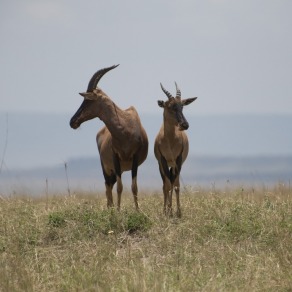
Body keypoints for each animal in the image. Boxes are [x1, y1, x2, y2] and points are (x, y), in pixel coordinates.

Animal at [70, 65, 148, 210]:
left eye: (88, 100)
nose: (72, 121)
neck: (126, 128)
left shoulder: (135, 158)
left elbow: (134, 187)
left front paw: (137, 210)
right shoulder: (115, 158)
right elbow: (120, 188)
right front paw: (117, 211)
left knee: (110, 186)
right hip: (107, 168)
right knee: (108, 186)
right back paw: (110, 208)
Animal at [154, 82, 197, 217]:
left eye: (182, 106)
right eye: (170, 106)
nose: (185, 125)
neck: (169, 140)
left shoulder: (179, 159)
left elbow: (176, 185)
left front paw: (178, 212)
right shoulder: (162, 160)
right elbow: (167, 185)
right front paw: (167, 211)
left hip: (173, 164)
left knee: (173, 181)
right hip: (163, 165)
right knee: (166, 184)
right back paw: (167, 209)